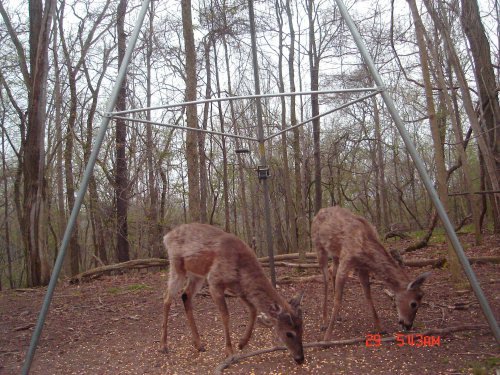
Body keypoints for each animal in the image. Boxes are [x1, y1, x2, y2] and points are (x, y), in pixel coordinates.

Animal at [160, 223, 304, 364]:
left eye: (302, 329)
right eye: (289, 333)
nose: (300, 359)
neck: (240, 269)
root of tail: (167, 236)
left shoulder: (239, 288)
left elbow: (253, 309)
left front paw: (242, 343)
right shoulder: (215, 281)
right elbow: (225, 315)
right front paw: (229, 351)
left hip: (197, 275)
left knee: (185, 295)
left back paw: (199, 344)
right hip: (176, 265)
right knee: (167, 298)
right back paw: (164, 345)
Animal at [310, 207, 432, 342]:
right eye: (413, 303)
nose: (408, 325)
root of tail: (318, 213)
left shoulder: (362, 267)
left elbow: (368, 295)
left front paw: (380, 328)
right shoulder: (347, 259)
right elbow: (338, 299)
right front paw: (327, 336)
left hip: (335, 254)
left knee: (332, 272)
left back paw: (338, 316)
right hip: (318, 246)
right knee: (325, 278)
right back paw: (324, 322)